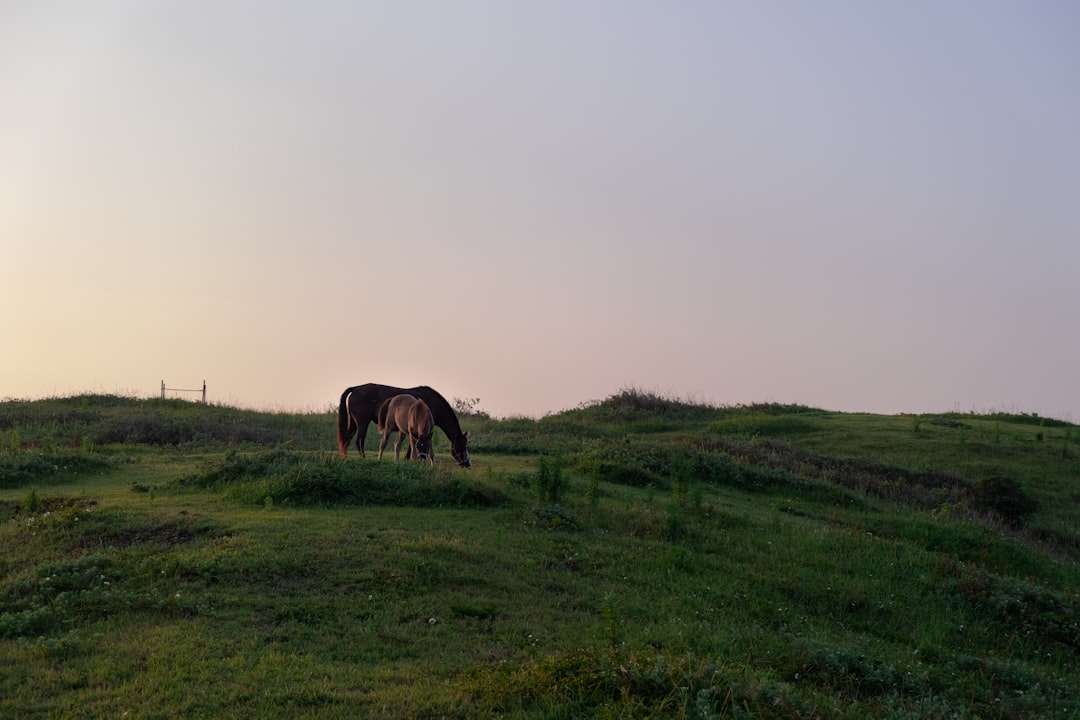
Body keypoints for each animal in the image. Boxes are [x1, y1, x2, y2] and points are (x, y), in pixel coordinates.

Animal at [334, 382, 470, 468]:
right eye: (461, 446)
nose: (467, 464)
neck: (433, 403)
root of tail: (355, 388)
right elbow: (412, 447)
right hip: (363, 423)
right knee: (359, 442)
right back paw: (363, 458)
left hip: (354, 424)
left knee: (346, 440)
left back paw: (344, 458)